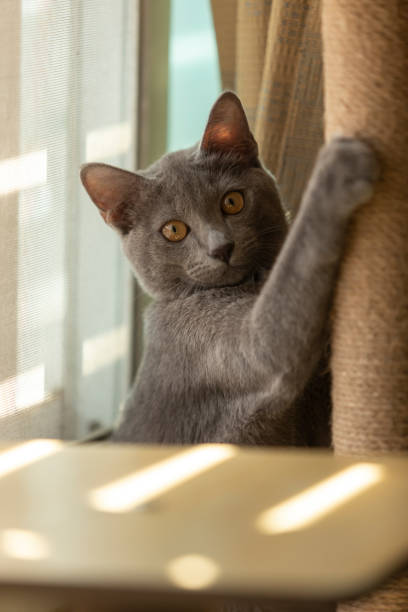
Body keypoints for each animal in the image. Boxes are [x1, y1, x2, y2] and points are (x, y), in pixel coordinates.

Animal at [80, 93, 380, 450]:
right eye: (173, 230)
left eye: (232, 202)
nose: (221, 248)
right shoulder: (217, 342)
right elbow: (294, 269)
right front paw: (338, 167)